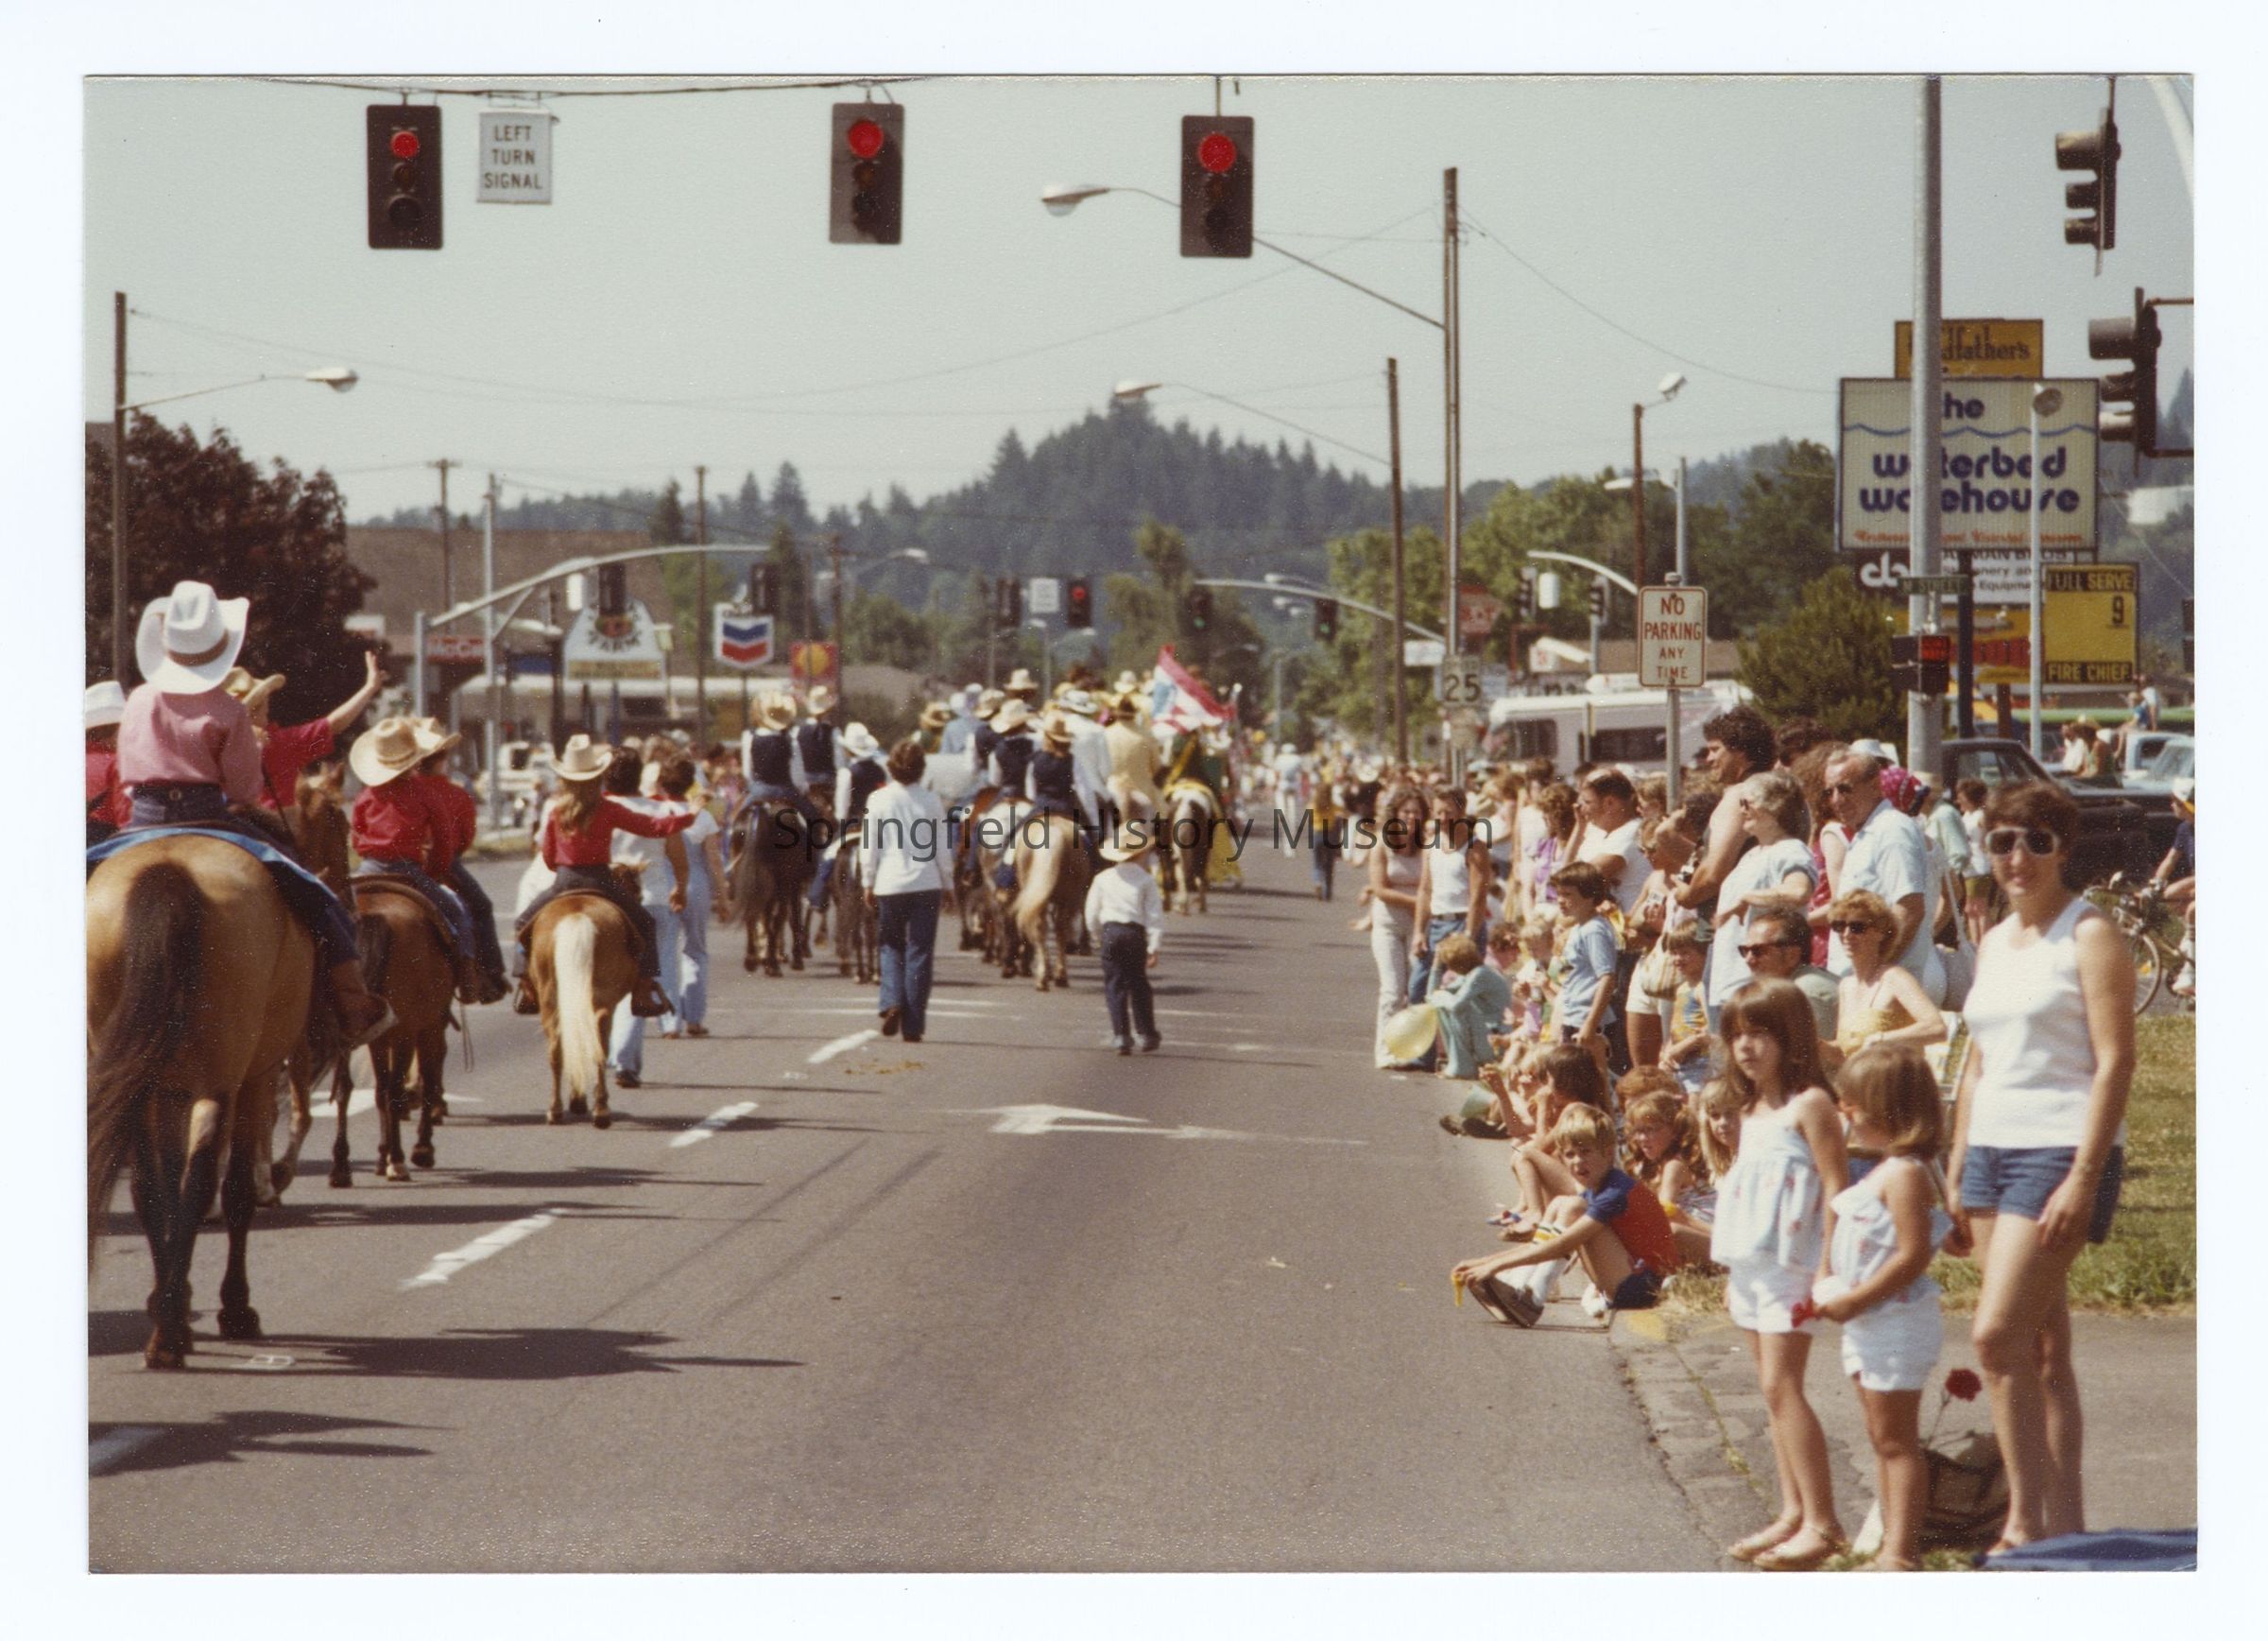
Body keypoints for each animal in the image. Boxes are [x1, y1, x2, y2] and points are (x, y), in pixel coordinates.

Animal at [88, 837, 313, 1369]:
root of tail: (170, 872)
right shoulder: (255, 1078)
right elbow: (234, 1192)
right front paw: (234, 1308)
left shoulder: (169, 1092)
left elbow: (166, 1187)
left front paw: (174, 1295)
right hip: (222, 1081)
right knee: (208, 1182)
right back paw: (174, 1331)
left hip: (138, 1081)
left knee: (151, 1187)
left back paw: (167, 1324)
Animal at [336, 880, 458, 1183]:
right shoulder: (428, 1028)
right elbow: (426, 1081)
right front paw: (421, 1149)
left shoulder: (380, 1039)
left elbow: (380, 1091)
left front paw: (382, 1156)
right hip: (408, 1033)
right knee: (395, 1091)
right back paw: (399, 1160)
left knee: (345, 1089)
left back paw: (341, 1166)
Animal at [528, 865, 643, 1128]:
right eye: (637, 890)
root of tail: (576, 916)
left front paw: (577, 1099)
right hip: (601, 999)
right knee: (599, 1039)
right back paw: (600, 1110)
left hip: (551, 997)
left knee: (558, 1043)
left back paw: (556, 1110)